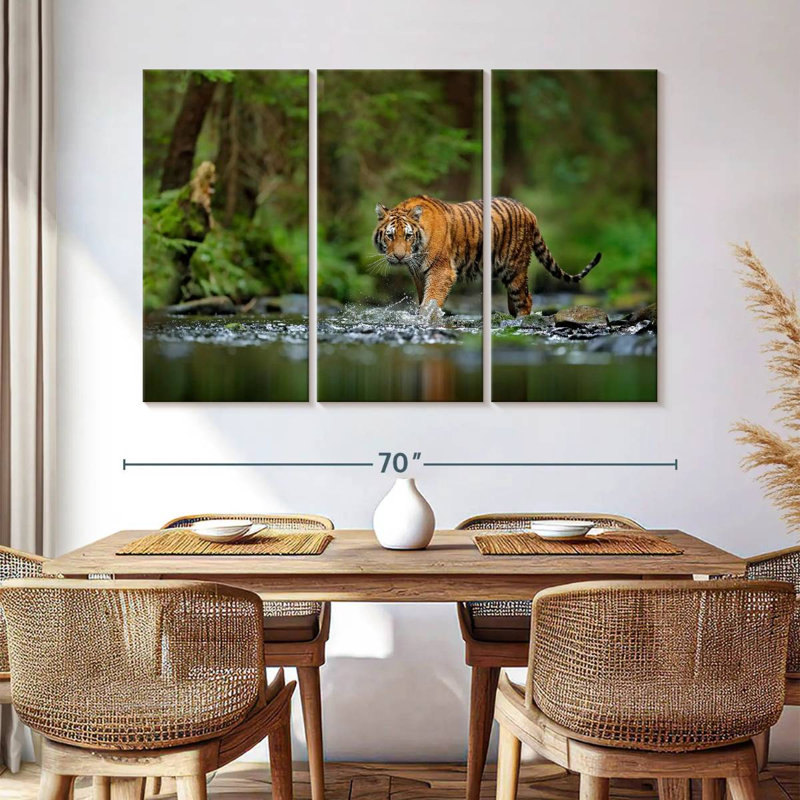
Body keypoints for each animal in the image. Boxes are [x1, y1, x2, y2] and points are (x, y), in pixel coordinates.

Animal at [372, 195, 601, 317]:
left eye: (408, 236)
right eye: (390, 236)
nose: (399, 257)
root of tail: (529, 211)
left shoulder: (441, 271)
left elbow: (431, 300)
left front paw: (426, 318)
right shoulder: (419, 274)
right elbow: (423, 298)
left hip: (514, 268)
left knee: (525, 299)